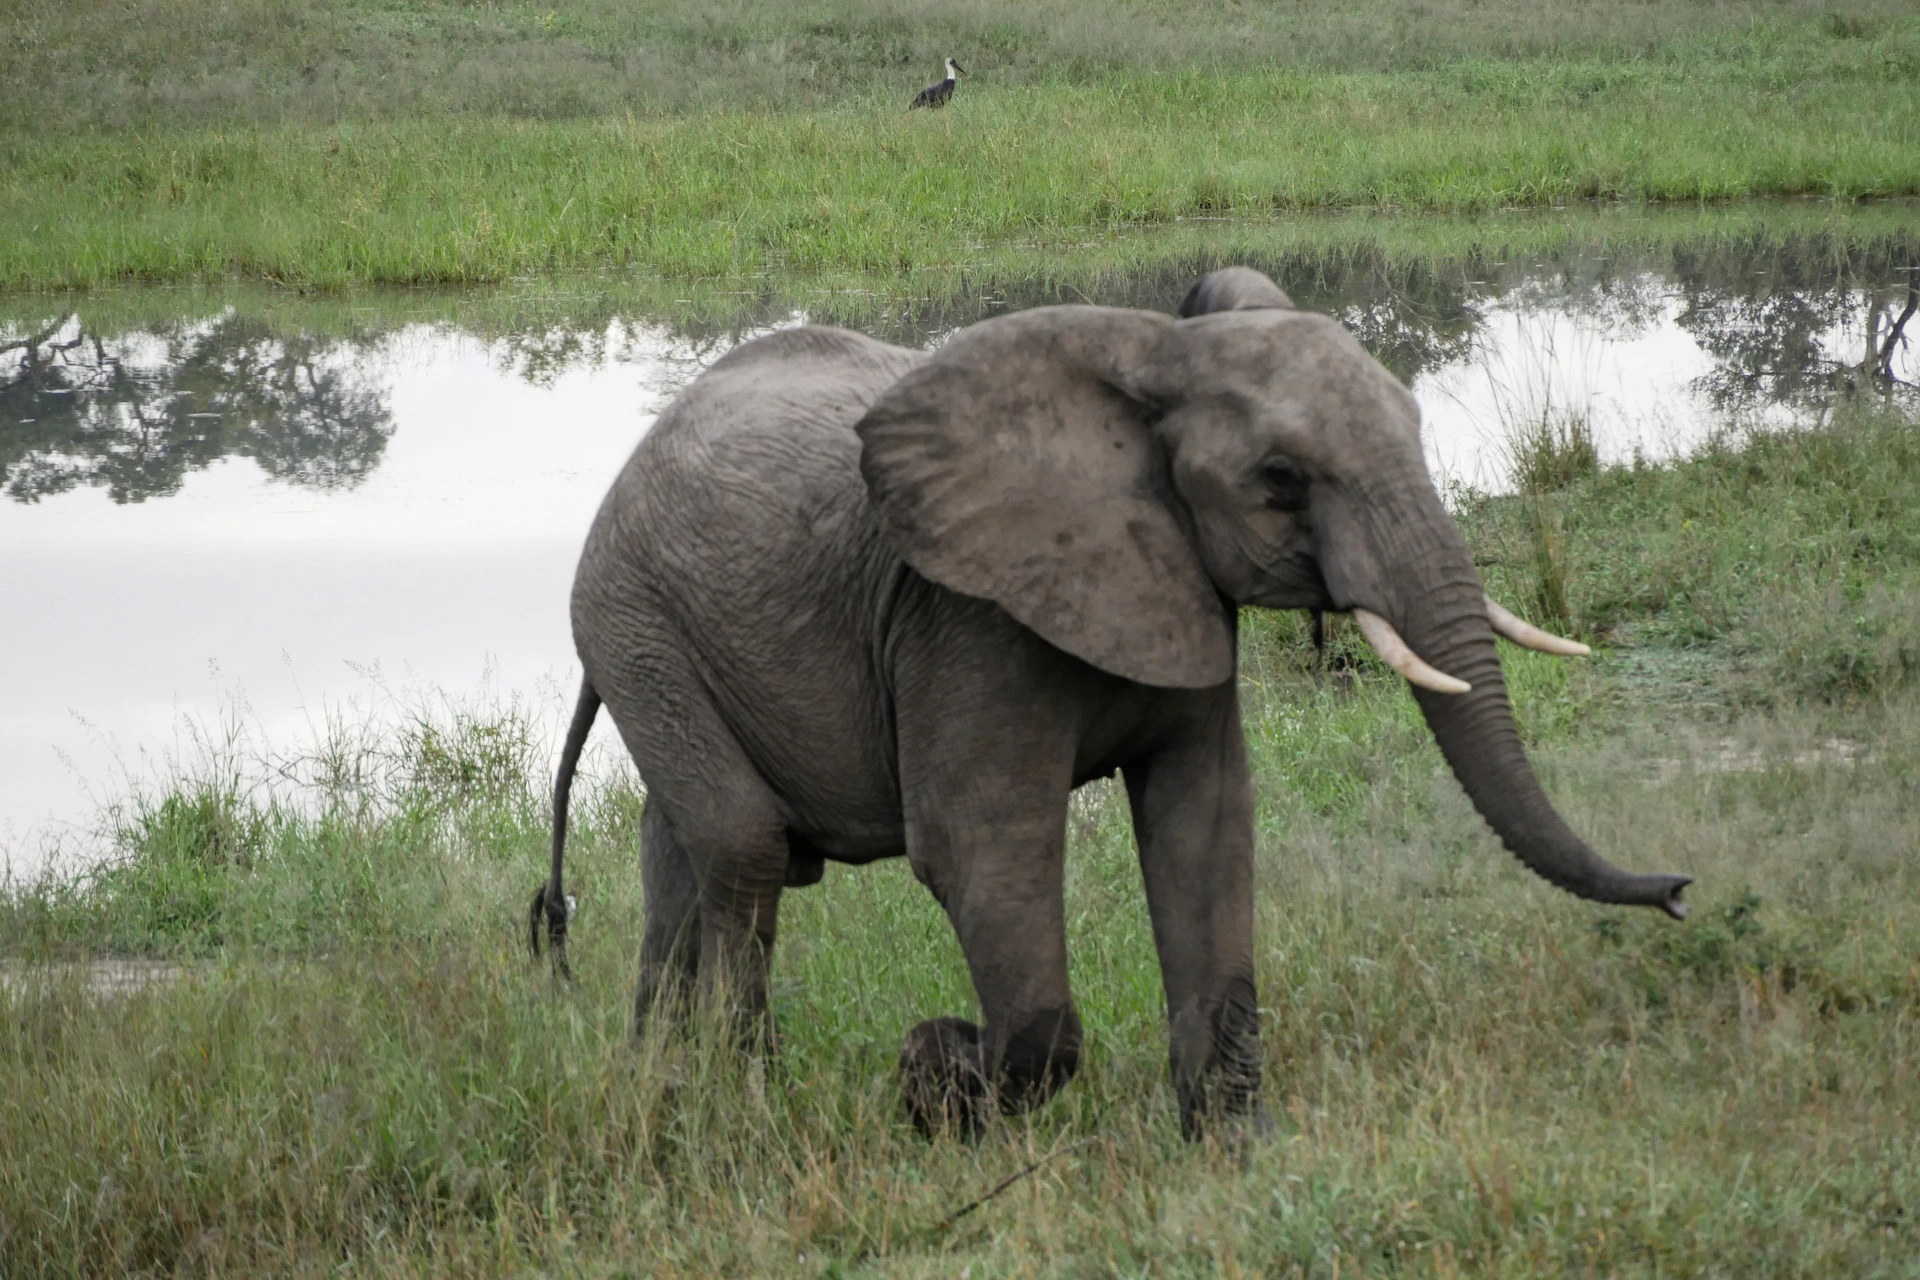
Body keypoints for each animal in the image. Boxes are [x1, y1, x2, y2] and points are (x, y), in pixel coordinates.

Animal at [530, 266, 1690, 1138]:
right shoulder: (966, 618)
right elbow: (981, 850)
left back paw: (659, 1088)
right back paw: (742, 1104)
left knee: (682, 847)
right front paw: (933, 1077)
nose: (1679, 889)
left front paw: (1233, 1148)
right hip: (631, 614)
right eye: (1280, 480)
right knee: (746, 849)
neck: (1155, 362)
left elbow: (1205, 823)